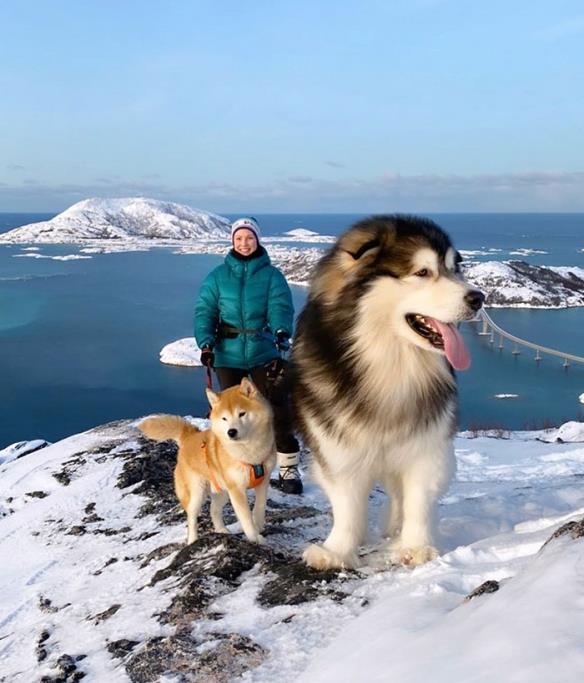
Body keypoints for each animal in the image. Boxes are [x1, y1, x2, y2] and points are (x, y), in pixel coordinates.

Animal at [141, 376, 278, 548]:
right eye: (224, 418)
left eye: (242, 414)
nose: (231, 432)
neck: (250, 453)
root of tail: (189, 437)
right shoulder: (237, 490)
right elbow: (246, 518)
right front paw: (255, 538)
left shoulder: (263, 481)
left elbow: (259, 508)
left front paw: (259, 526)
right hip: (197, 493)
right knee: (192, 518)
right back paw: (193, 540)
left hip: (222, 492)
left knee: (214, 510)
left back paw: (222, 531)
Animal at [292, 216, 484, 568]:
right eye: (422, 272)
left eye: (455, 269)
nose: (478, 298)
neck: (389, 362)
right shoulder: (338, 446)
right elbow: (347, 505)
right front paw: (337, 550)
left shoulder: (427, 443)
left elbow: (417, 500)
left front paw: (416, 547)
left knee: (399, 494)